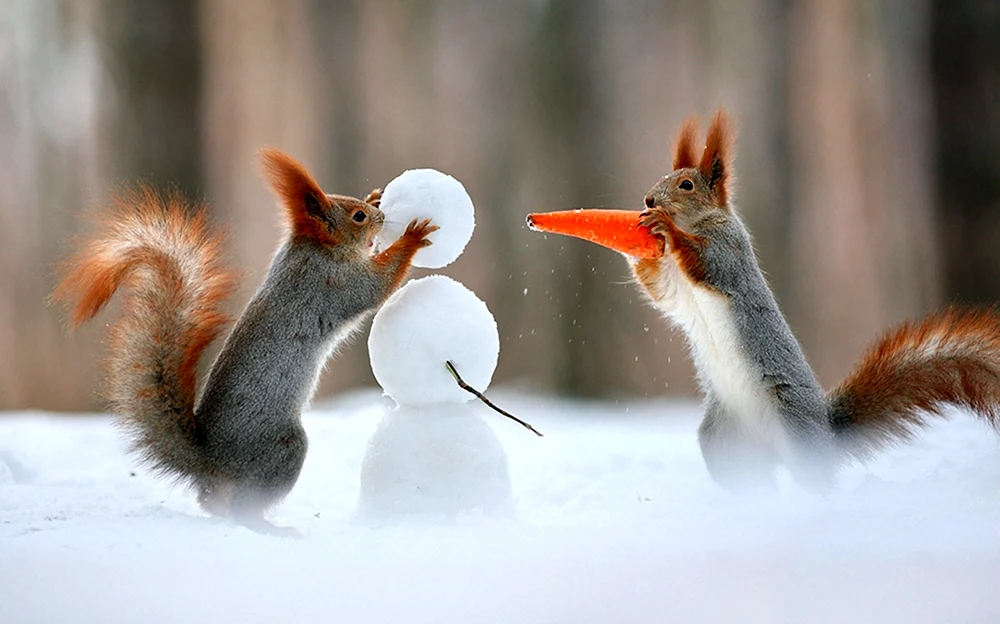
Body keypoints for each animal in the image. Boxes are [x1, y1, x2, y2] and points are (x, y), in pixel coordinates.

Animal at [53, 149, 438, 532]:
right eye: (358, 217)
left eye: (360, 205)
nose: (381, 214)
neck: (314, 247)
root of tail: (210, 460)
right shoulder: (331, 283)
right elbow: (375, 286)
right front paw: (412, 238)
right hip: (281, 448)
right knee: (243, 508)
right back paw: (270, 527)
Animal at [632, 111, 1000, 492]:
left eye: (686, 185)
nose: (648, 200)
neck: (697, 223)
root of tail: (825, 434)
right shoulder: (675, 286)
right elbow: (659, 289)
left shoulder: (728, 249)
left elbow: (706, 263)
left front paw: (665, 228)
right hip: (723, 439)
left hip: (793, 426)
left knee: (814, 479)